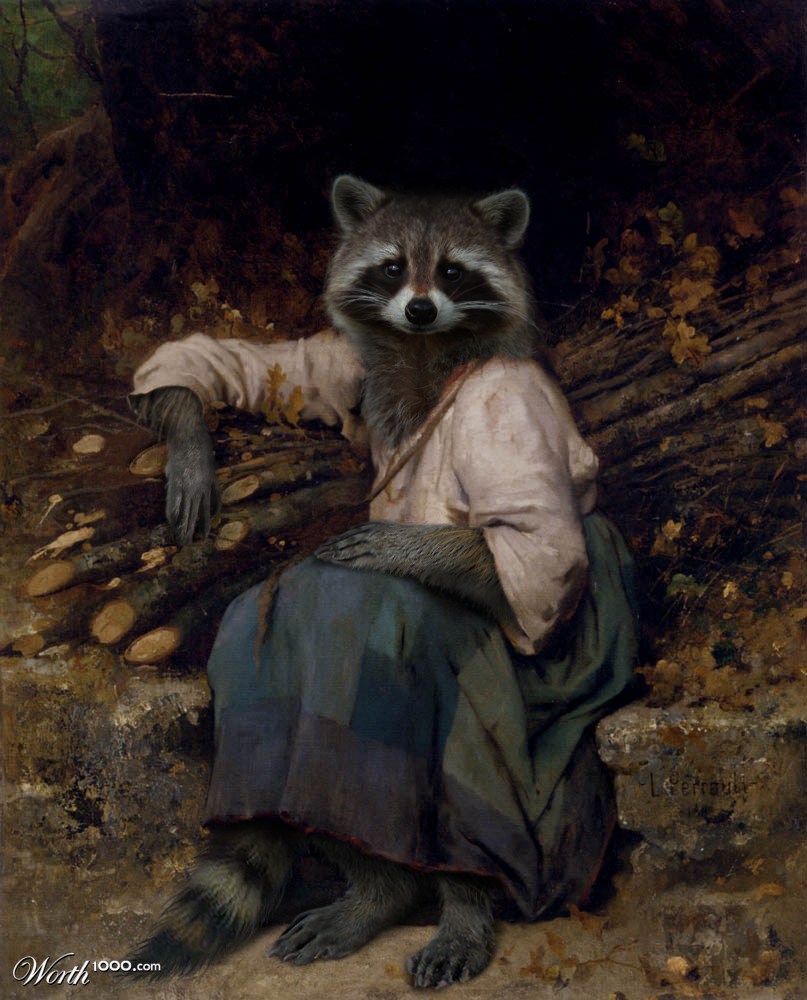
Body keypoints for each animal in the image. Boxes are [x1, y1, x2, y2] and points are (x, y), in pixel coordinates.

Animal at [126, 176, 541, 988]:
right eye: (392, 268)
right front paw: (189, 436)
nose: (419, 307)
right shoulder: (344, 364)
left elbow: (526, 543)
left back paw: (459, 905)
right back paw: (380, 892)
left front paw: (410, 546)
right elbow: (218, 361)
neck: (421, 347)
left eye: (451, 272)